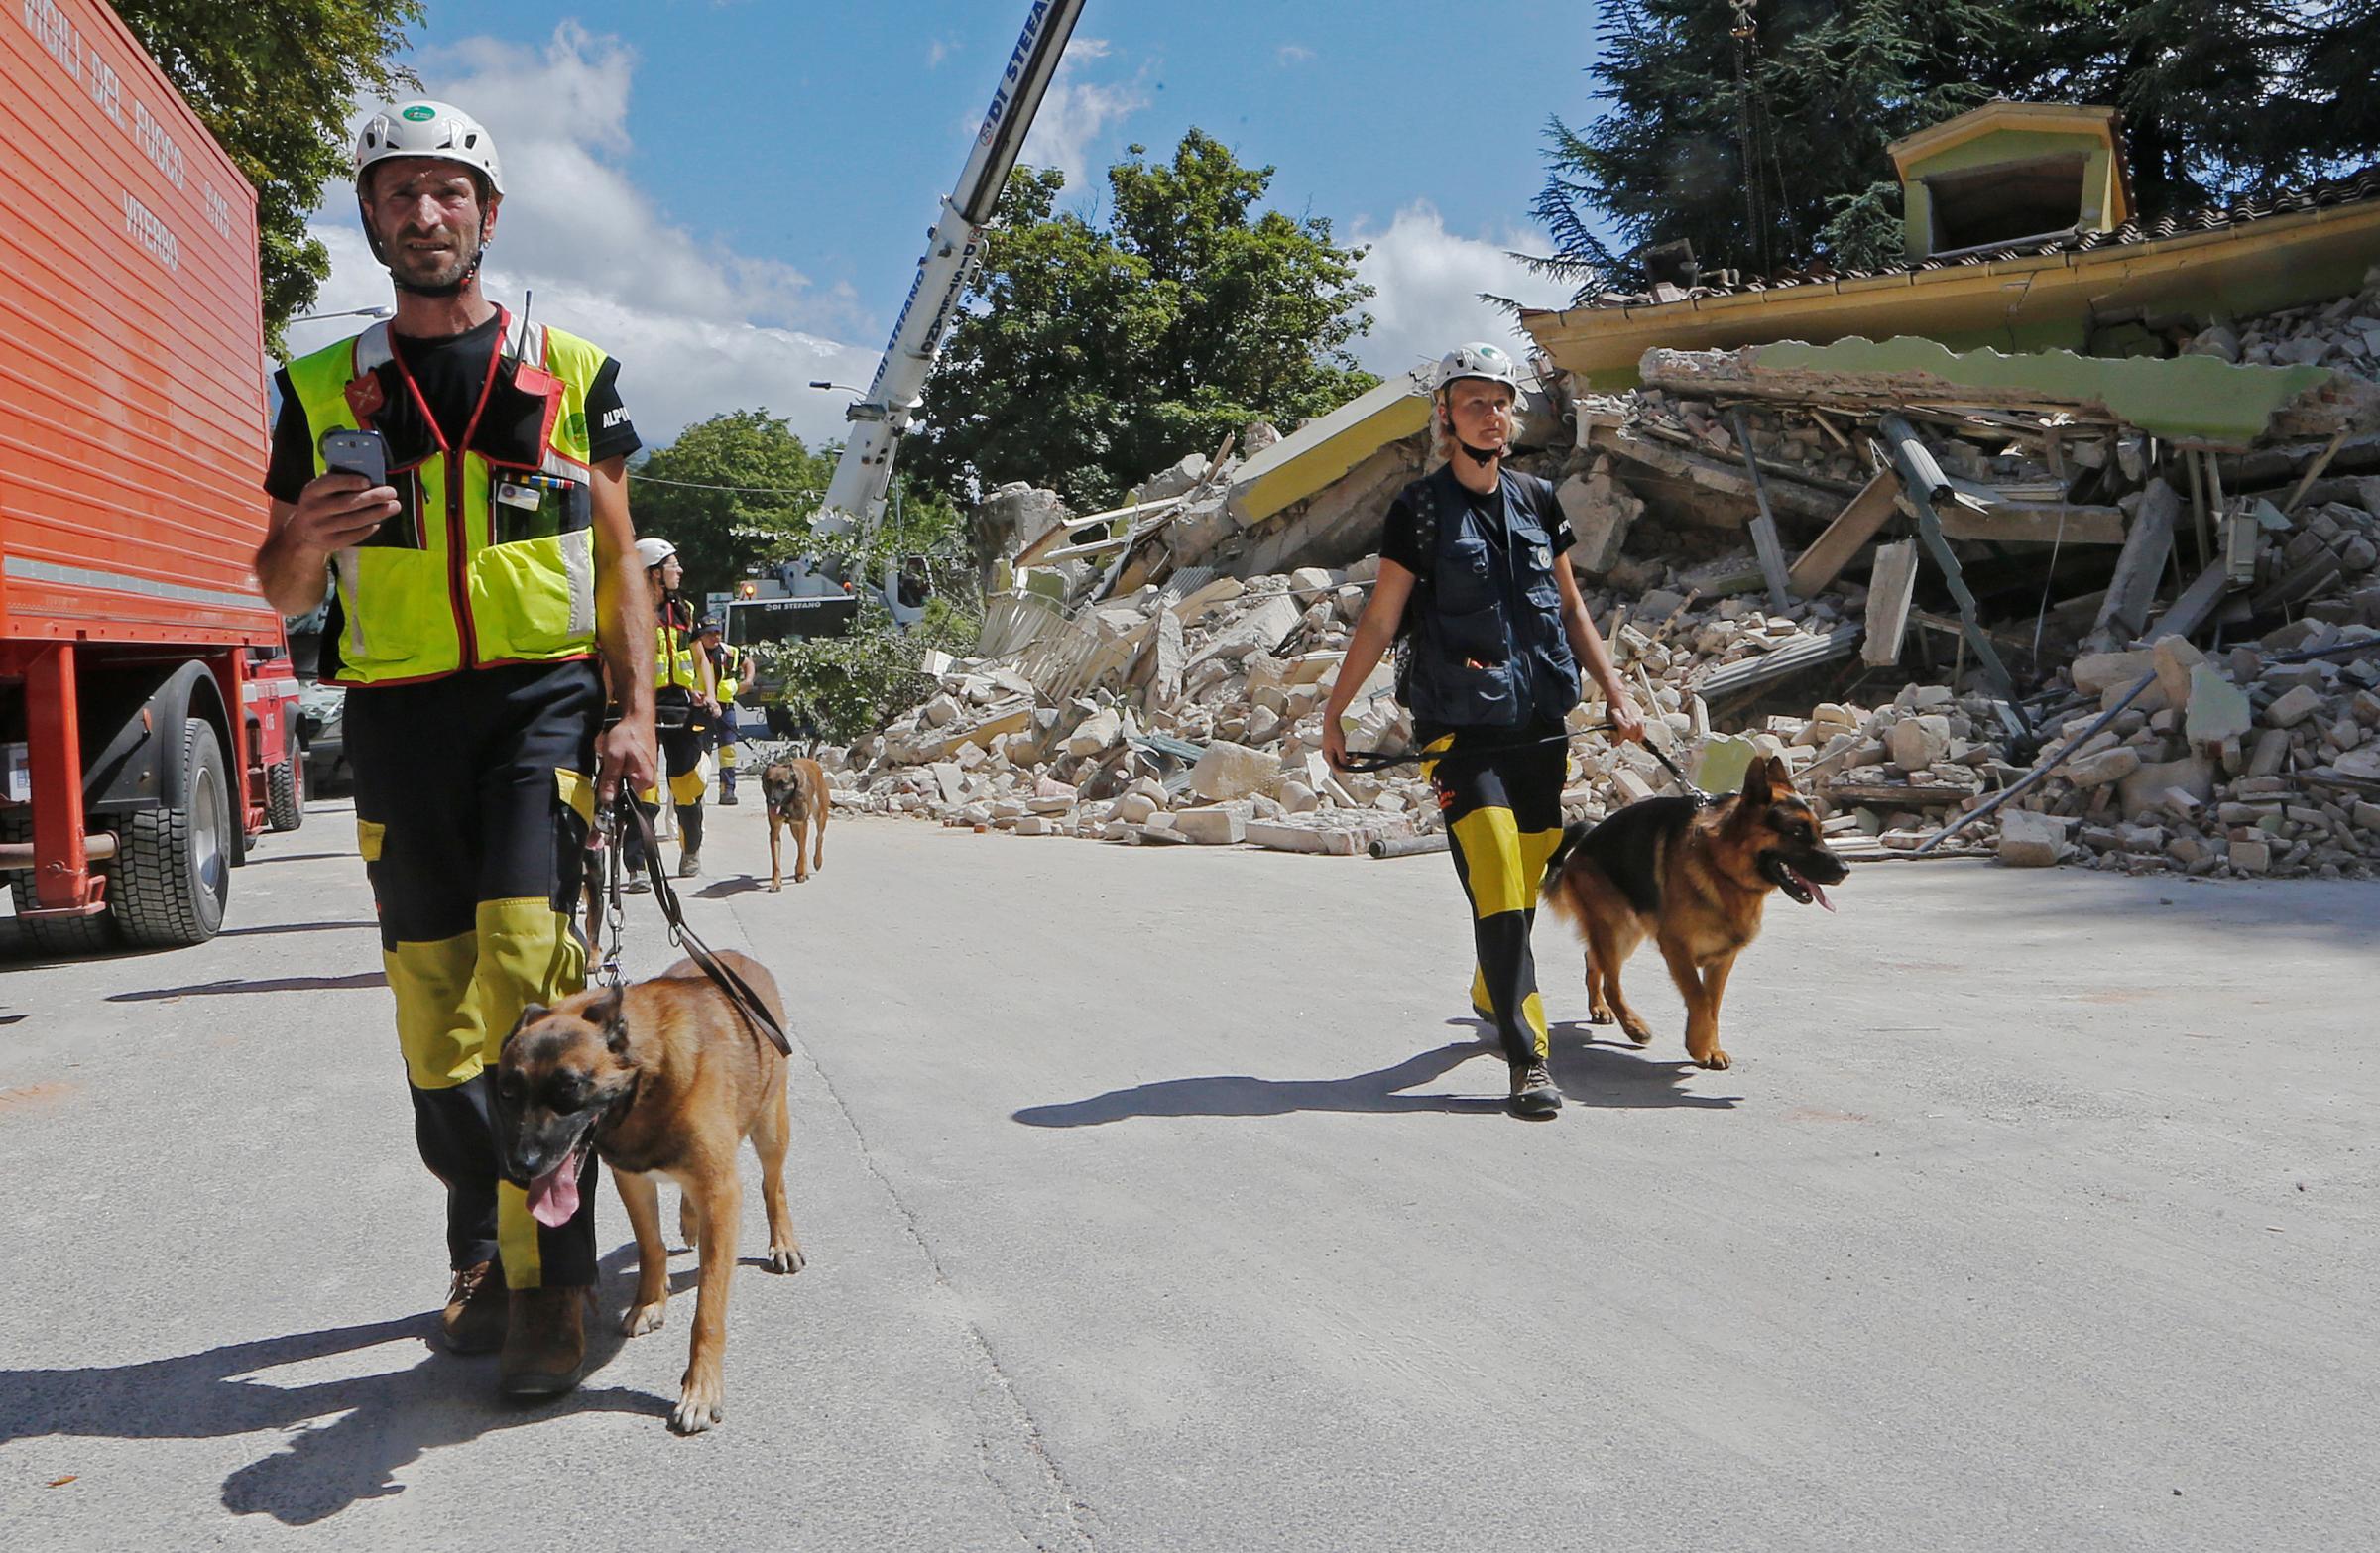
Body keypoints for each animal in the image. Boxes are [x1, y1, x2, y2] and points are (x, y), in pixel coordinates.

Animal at [497, 952, 804, 1438]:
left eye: (570, 1088)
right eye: (507, 1093)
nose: (521, 1167)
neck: (646, 1079)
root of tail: (737, 957)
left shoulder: (721, 1196)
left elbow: (707, 1311)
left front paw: (700, 1391)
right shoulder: (633, 1180)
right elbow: (650, 1246)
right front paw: (649, 1301)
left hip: (771, 1129)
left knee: (772, 1186)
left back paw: (783, 1242)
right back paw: (689, 1221)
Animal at [771, 757, 837, 891]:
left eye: (783, 784)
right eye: (768, 782)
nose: (771, 802)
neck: (788, 802)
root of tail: (811, 760)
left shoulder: (802, 824)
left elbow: (801, 850)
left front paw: (800, 873)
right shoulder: (775, 828)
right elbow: (776, 859)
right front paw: (776, 881)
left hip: (820, 813)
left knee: (819, 837)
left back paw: (817, 861)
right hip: (793, 827)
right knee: (802, 845)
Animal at [1532, 752, 1846, 1067]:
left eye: (1820, 831)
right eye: (1797, 832)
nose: (1844, 869)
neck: (1721, 867)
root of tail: (1583, 845)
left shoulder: (1722, 959)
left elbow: (1713, 1004)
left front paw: (1711, 1047)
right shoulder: (1676, 948)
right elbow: (1699, 998)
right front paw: (1697, 1046)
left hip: (1626, 932)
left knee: (1591, 958)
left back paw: (1599, 1008)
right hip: (1617, 927)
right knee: (1612, 983)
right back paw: (1634, 1026)